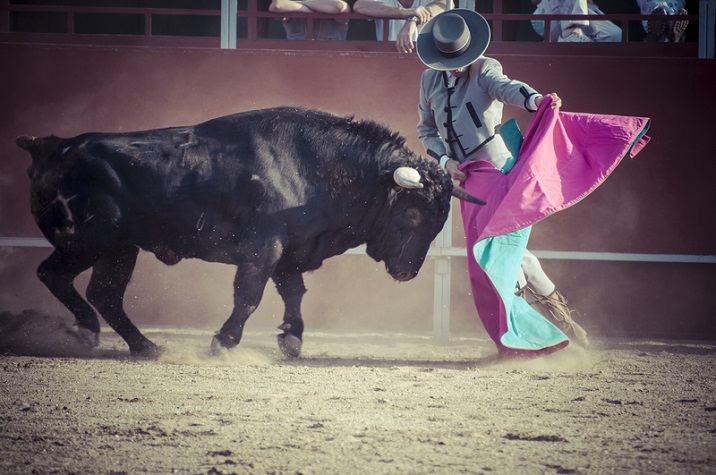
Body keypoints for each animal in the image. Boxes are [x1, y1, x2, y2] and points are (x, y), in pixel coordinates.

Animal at [17, 107, 483, 358]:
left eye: (440, 220)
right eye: (412, 215)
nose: (407, 271)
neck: (320, 166)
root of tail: (54, 146)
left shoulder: (290, 249)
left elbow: (293, 292)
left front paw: (292, 339)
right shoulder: (264, 247)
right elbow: (250, 296)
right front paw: (223, 342)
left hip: (119, 247)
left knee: (105, 294)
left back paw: (145, 346)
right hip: (88, 240)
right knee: (53, 275)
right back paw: (88, 331)